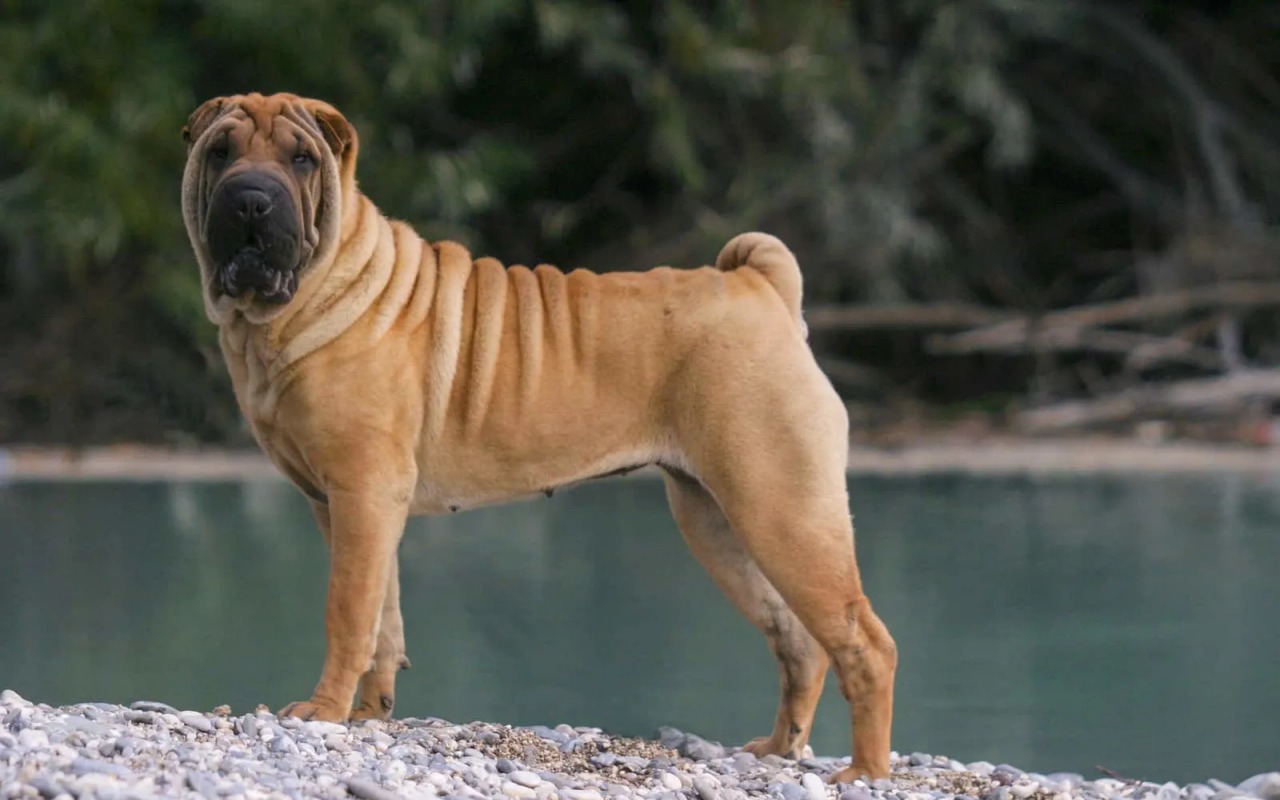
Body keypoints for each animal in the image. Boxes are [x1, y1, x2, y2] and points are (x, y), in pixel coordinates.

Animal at [180, 93, 896, 778]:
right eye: (220, 153)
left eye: (301, 160)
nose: (250, 196)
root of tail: (760, 284)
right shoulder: (350, 507)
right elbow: (384, 618)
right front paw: (368, 715)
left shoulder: (361, 492)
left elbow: (348, 612)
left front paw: (325, 711)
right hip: (718, 522)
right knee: (798, 641)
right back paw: (778, 749)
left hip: (781, 510)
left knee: (865, 643)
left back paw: (863, 771)